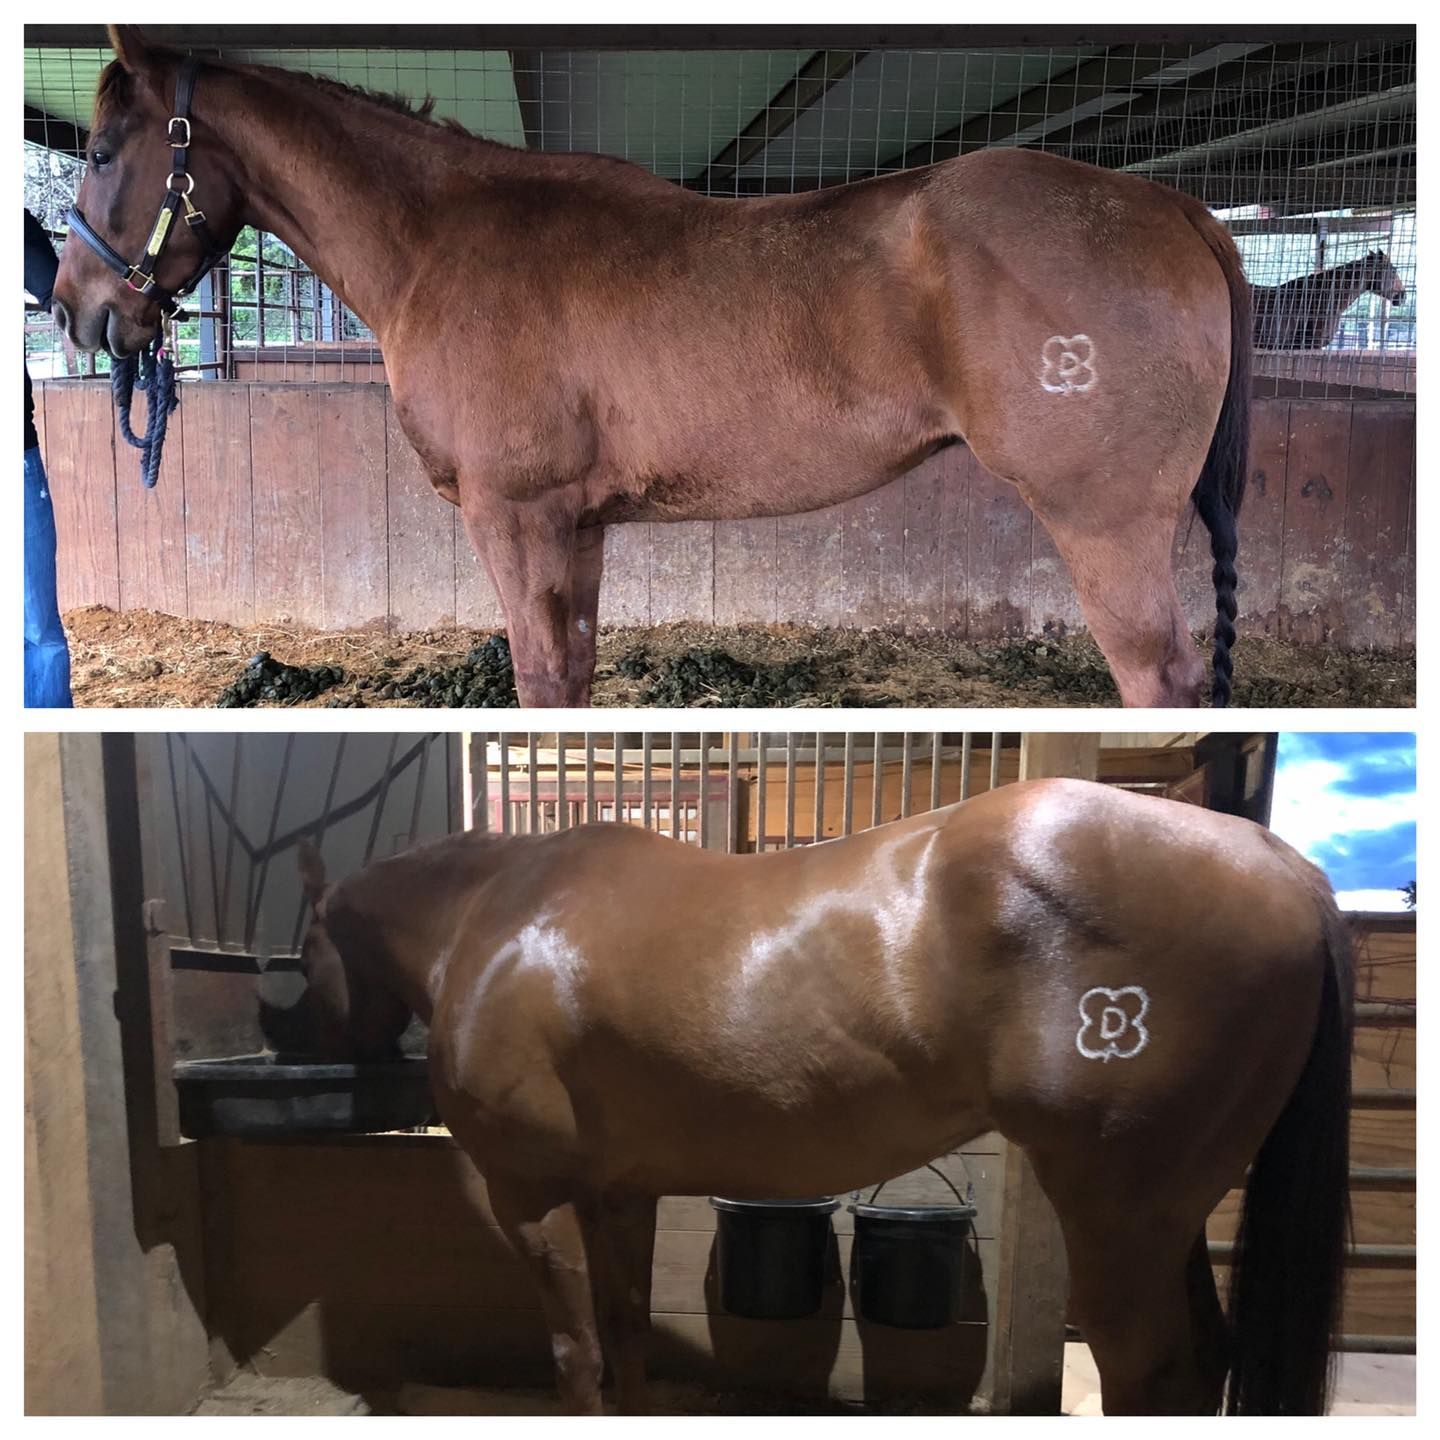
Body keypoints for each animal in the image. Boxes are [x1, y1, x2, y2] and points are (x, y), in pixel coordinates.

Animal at [51, 27, 1252, 709]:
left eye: (102, 151)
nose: (72, 309)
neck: (439, 241)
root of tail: (1175, 207)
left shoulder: (518, 517)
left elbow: (540, 685)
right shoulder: (576, 528)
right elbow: (576, 679)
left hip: (1105, 526)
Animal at [290, 776, 1353, 1415]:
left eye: (304, 952)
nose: (317, 1039)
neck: (500, 920)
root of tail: (1281, 865)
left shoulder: (532, 1198)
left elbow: (578, 1357)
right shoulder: (616, 1195)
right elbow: (627, 1344)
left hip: (1120, 1221)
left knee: (1153, 1377)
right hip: (1169, 1218)